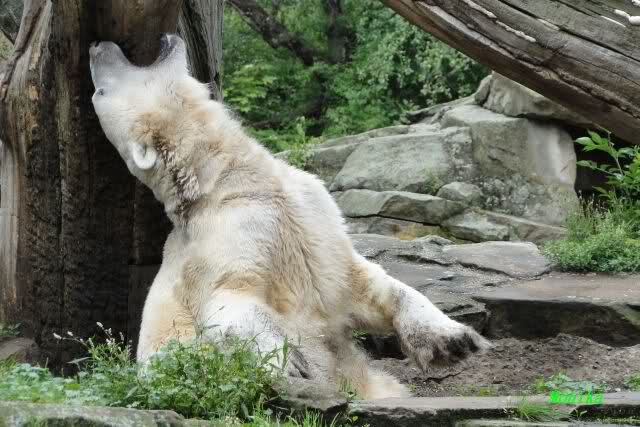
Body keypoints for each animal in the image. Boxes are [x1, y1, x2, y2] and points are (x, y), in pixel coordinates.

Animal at [89, 34, 490, 399]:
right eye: (101, 92)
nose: (96, 47)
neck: (227, 176)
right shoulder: (221, 236)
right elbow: (231, 296)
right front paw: (292, 364)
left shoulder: (312, 211)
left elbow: (361, 278)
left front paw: (455, 341)